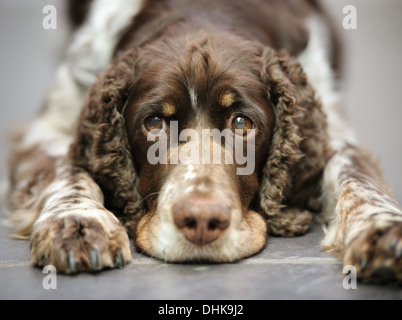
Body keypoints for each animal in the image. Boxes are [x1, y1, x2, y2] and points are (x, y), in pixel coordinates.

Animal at [6, 0, 402, 280]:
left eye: (241, 122)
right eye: (154, 122)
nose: (200, 221)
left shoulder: (335, 127)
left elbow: (355, 174)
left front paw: (382, 229)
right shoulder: (47, 127)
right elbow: (67, 171)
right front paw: (77, 223)